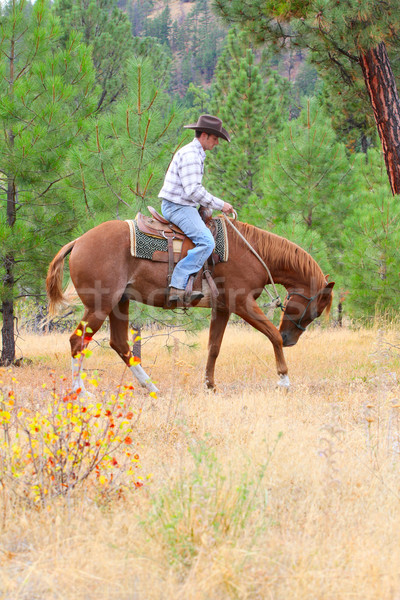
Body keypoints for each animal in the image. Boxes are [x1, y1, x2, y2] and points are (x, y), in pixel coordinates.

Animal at [46, 219, 334, 394]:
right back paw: (81, 392)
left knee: (119, 343)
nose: (290, 339)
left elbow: (214, 348)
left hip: (119, 303)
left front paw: (210, 386)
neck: (252, 252)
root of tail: (79, 241)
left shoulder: (222, 308)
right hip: (100, 306)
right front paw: (284, 380)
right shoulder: (242, 303)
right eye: (315, 311)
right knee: (78, 341)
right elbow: (271, 334)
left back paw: (152, 388)